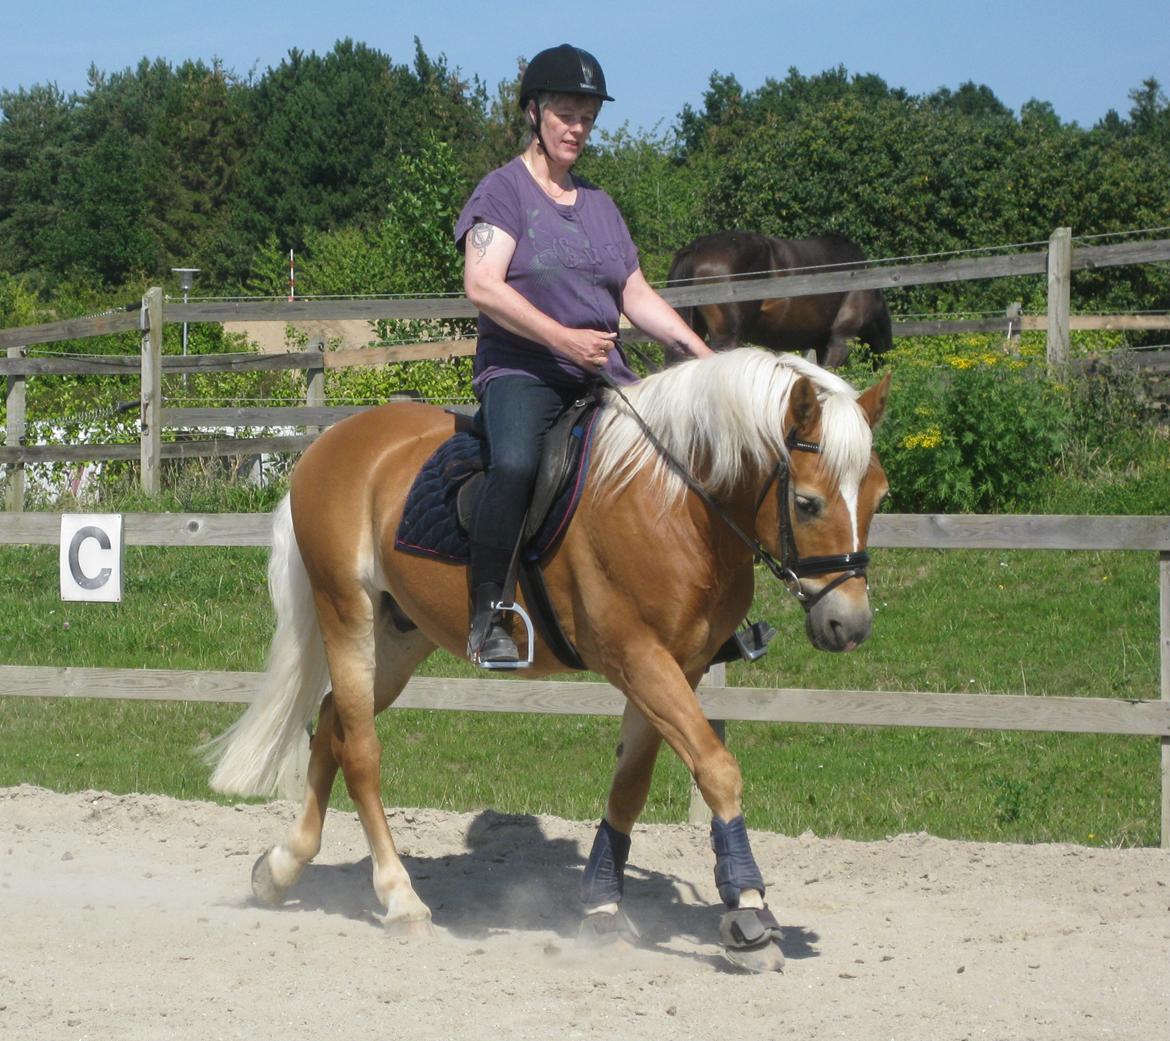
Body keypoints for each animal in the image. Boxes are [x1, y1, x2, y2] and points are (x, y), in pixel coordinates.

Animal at [205, 346, 889, 963]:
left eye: (878, 497)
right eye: (807, 503)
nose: (848, 623)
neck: (671, 503)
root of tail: (332, 444)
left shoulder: (678, 666)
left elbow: (630, 787)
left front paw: (602, 908)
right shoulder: (639, 658)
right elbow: (717, 768)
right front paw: (748, 912)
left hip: (398, 638)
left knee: (332, 727)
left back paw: (281, 868)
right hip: (346, 614)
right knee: (362, 752)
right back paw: (400, 900)